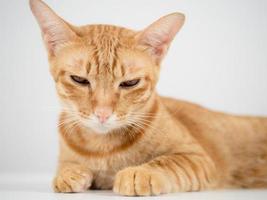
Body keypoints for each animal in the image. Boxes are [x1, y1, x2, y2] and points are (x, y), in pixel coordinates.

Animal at [29, 0, 267, 196]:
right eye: (79, 80)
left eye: (130, 83)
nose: (103, 114)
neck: (103, 147)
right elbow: (66, 165)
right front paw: (68, 173)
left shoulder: (198, 158)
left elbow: (167, 162)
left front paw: (139, 173)